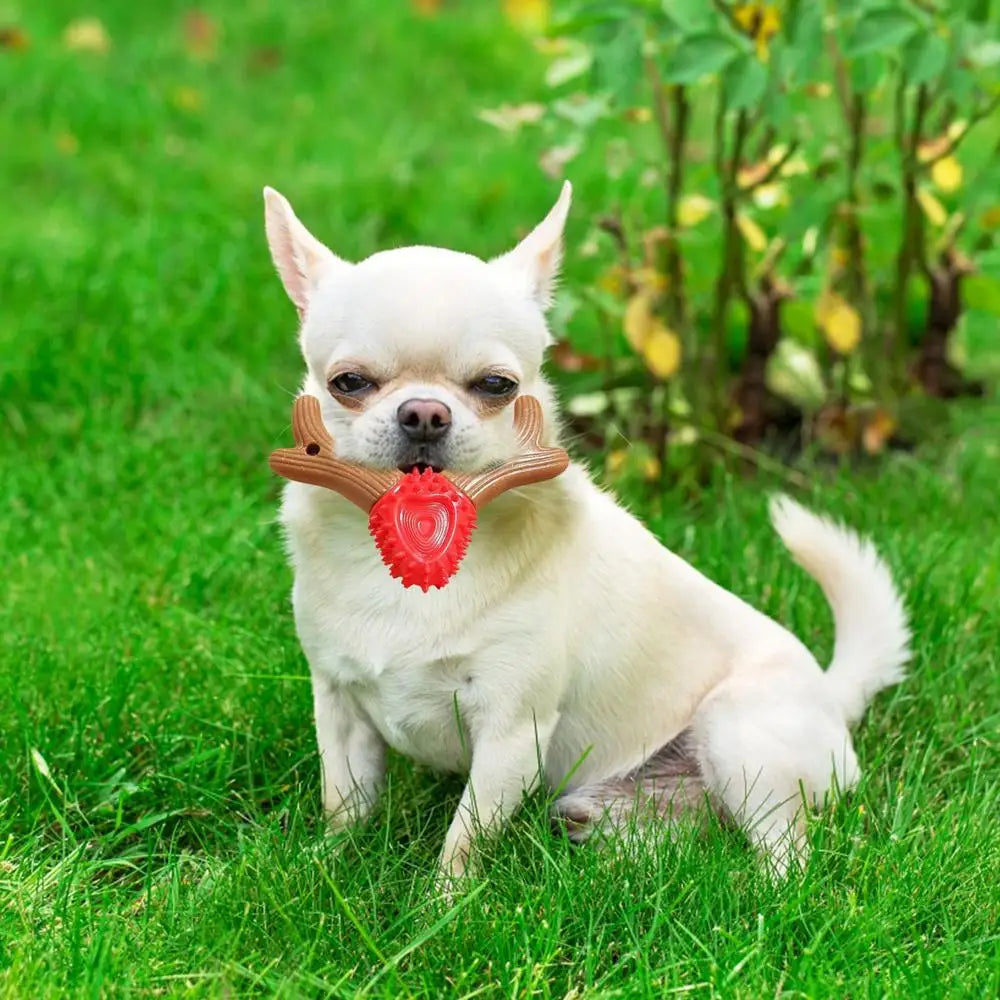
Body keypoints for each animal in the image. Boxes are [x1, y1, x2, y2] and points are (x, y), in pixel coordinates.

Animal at [262, 182, 912, 884]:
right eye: (348, 383)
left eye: (497, 386)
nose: (425, 413)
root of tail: (832, 697)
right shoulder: (339, 706)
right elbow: (345, 804)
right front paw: (321, 869)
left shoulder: (512, 732)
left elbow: (463, 840)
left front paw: (443, 903)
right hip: (623, 805)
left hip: (739, 734)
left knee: (787, 850)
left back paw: (764, 894)